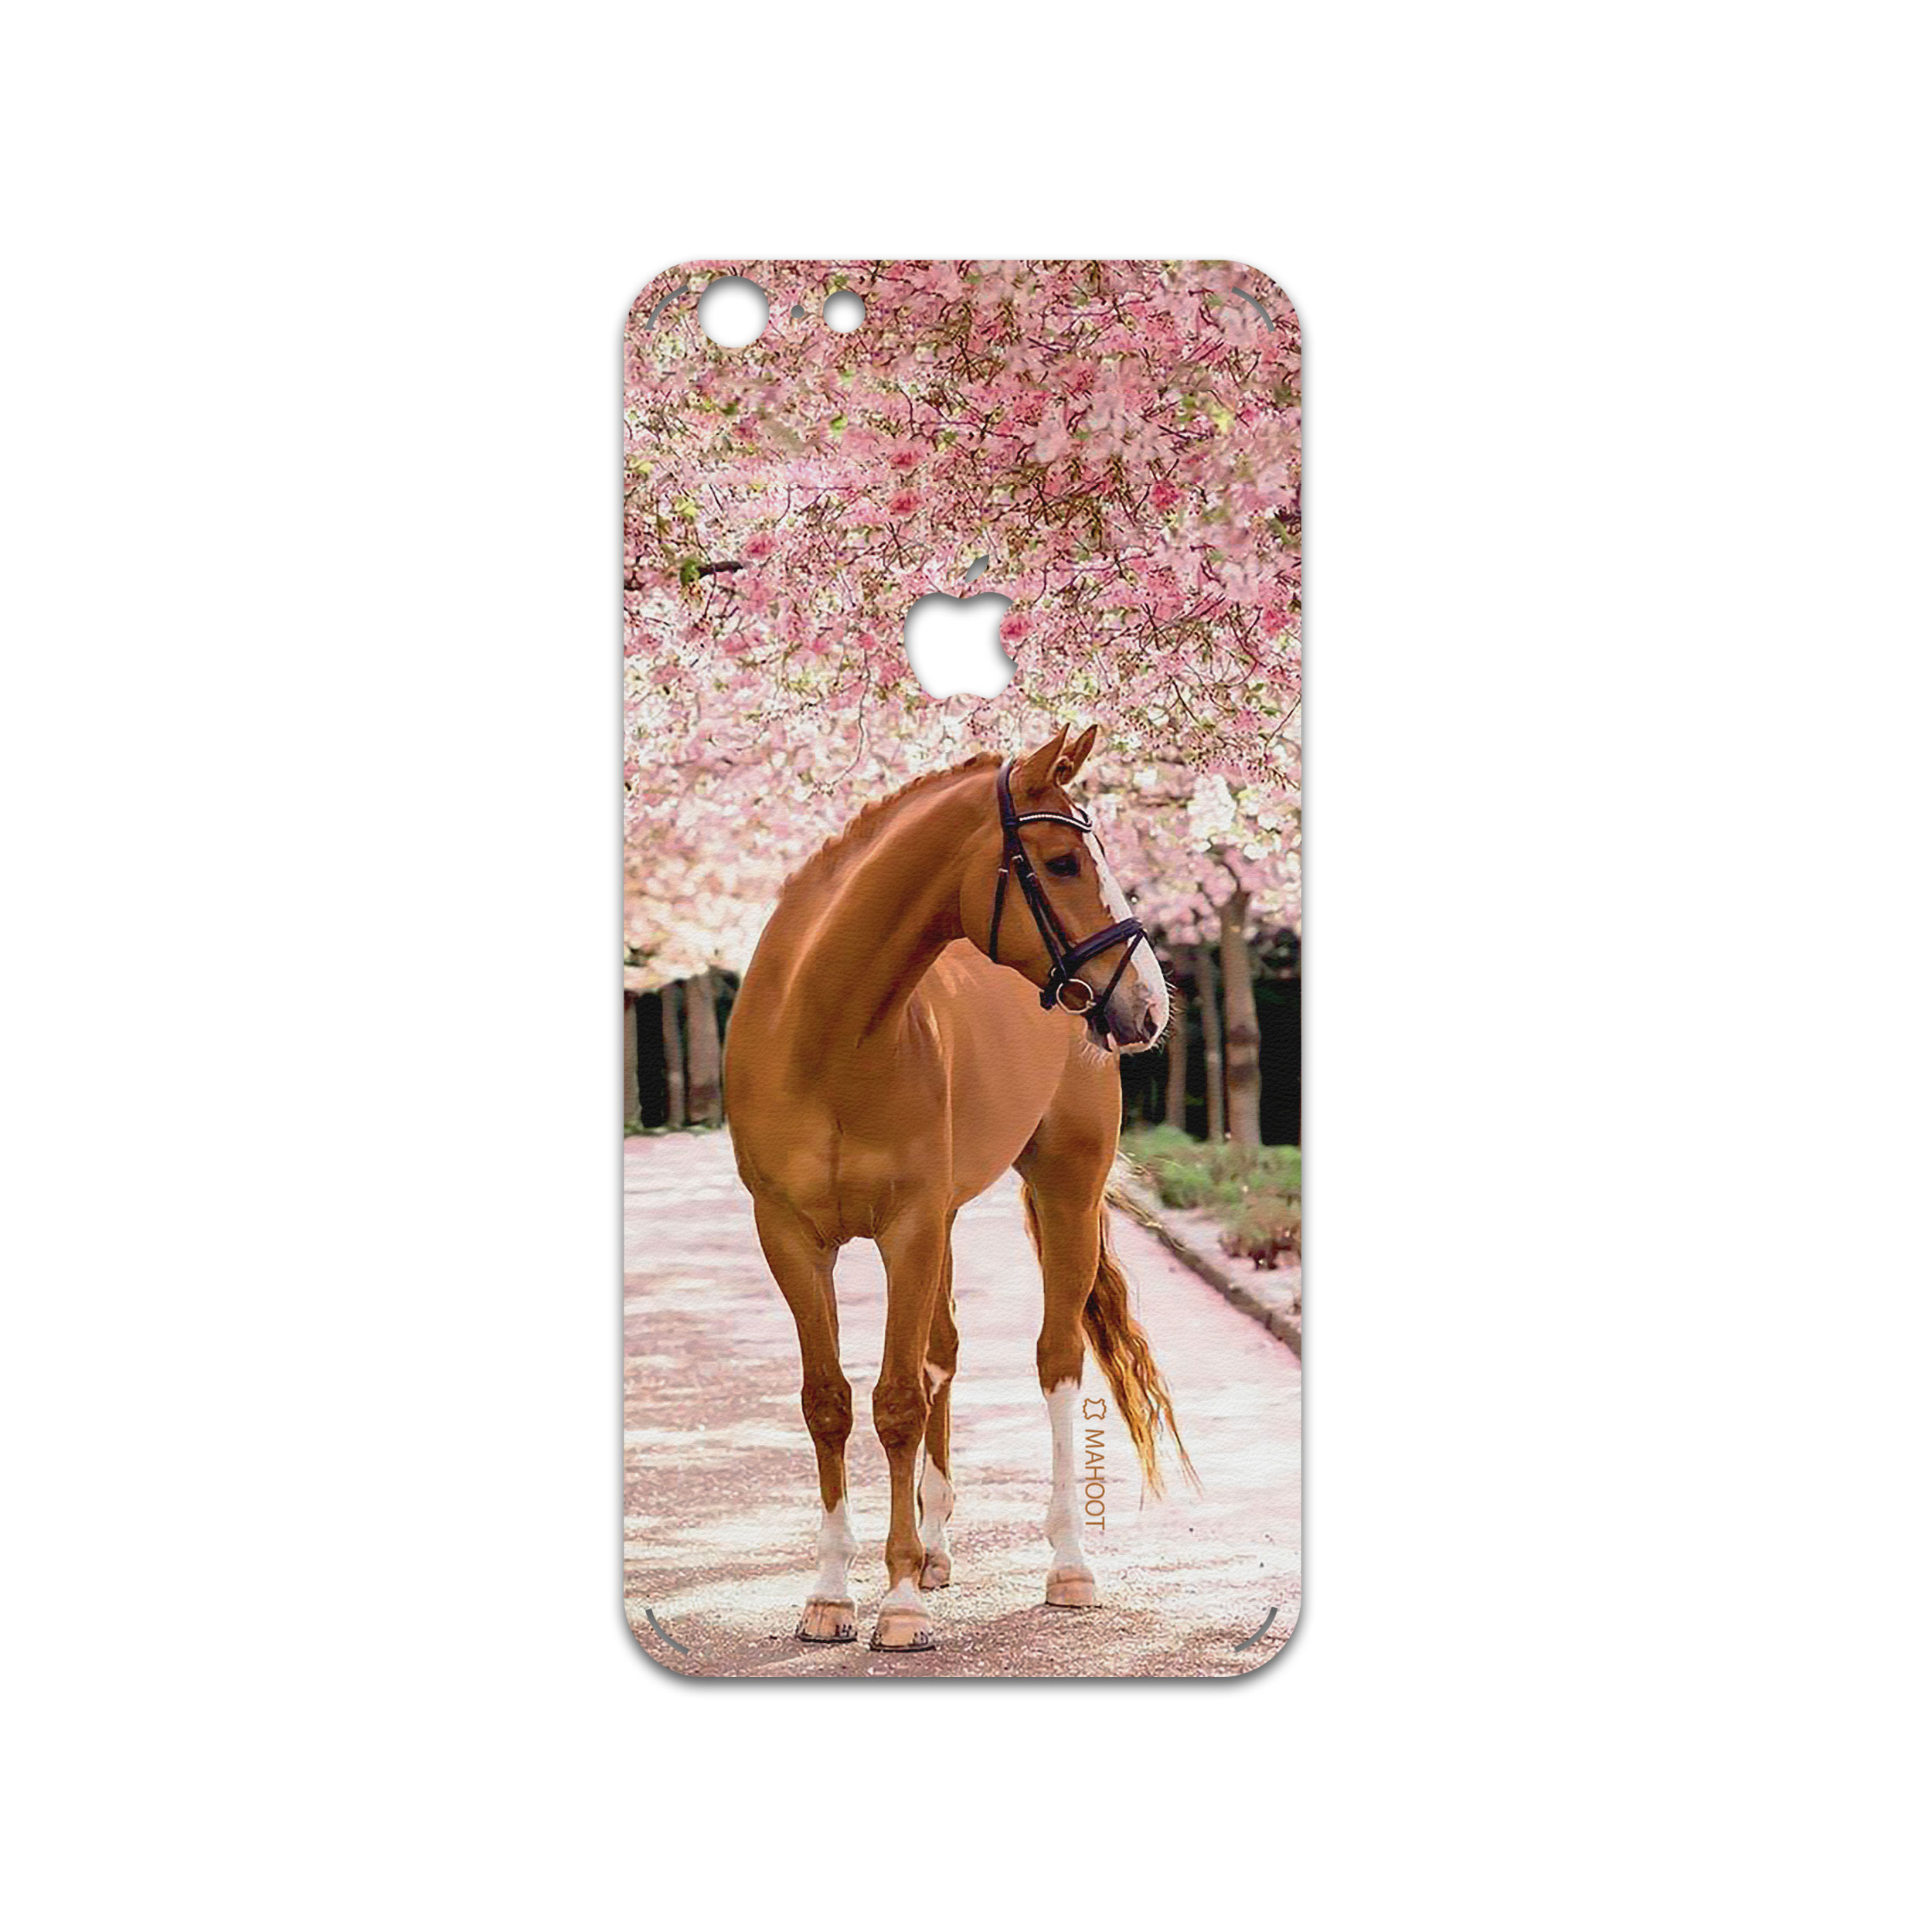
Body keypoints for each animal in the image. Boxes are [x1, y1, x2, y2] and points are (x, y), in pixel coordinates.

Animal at [724, 724, 1191, 1652]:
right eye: (1061, 862)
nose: (1150, 1005)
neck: (824, 1033)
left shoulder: (907, 1227)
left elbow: (898, 1402)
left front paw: (898, 1604)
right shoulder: (791, 1236)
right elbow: (829, 1402)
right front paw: (831, 1594)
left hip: (1064, 1191)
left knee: (1055, 1360)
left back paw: (1067, 1565)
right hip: (942, 1222)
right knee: (942, 1353)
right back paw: (936, 1549)